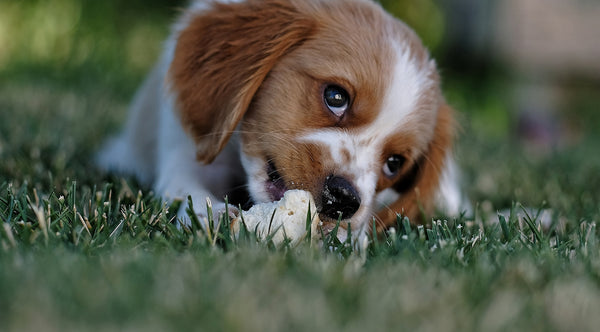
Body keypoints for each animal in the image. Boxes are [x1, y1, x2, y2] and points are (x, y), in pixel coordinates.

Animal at [97, 0, 468, 240]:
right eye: (336, 97)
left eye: (394, 163)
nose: (344, 199)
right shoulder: (185, 150)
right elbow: (186, 188)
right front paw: (213, 214)